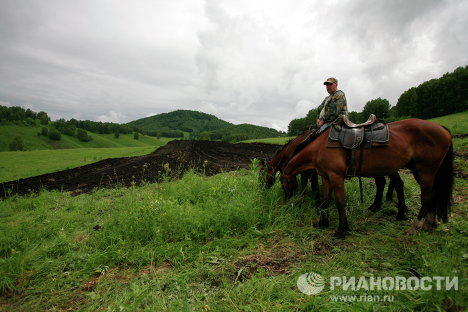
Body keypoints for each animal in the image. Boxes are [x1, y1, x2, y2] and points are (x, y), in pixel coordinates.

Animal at [262, 129, 408, 217]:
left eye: (263, 176)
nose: (263, 189)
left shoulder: (311, 171)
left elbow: (313, 187)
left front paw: (316, 205)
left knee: (397, 183)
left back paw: (400, 209)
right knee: (383, 183)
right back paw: (379, 205)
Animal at [280, 119, 452, 236]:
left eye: (281, 182)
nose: (286, 201)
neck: (319, 147)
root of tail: (442, 128)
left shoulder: (336, 177)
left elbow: (340, 202)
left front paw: (342, 229)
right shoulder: (326, 177)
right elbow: (325, 200)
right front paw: (323, 223)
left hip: (426, 171)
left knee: (426, 196)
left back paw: (416, 225)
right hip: (420, 171)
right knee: (430, 194)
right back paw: (429, 223)